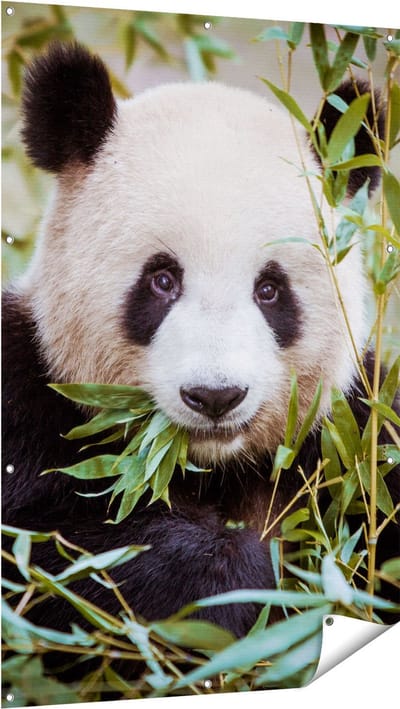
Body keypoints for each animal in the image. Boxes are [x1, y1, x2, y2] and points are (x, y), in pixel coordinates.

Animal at [2, 42, 399, 642]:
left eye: (269, 289)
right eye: (162, 280)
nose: (216, 396)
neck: (211, 468)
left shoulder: (356, 437)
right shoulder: (28, 397)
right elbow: (52, 555)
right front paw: (234, 578)